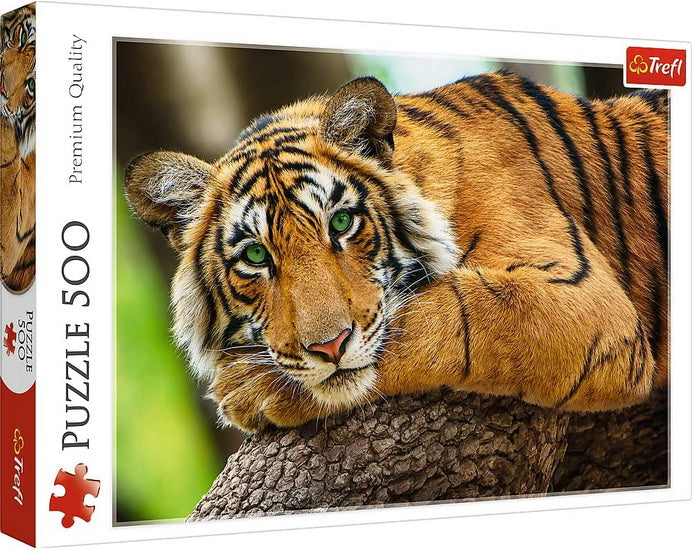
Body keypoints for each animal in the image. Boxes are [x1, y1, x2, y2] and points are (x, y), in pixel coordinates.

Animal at [124, 70, 668, 433]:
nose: (329, 348)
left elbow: (446, 314)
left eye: (341, 223)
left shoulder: (583, 299)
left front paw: (247, 389)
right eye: (256, 257)